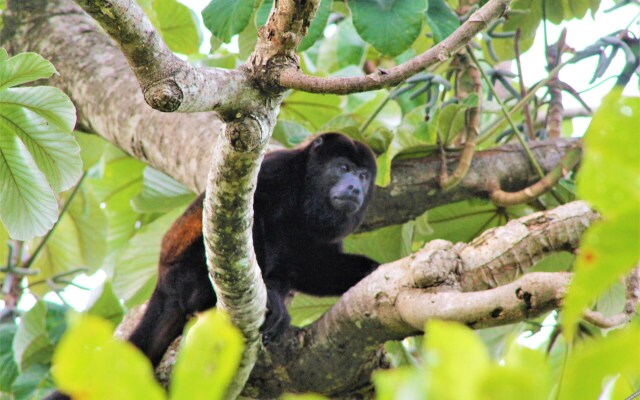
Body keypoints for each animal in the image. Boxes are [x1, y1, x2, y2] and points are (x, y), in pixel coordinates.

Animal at [47, 133, 380, 398]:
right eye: (343, 168)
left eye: (363, 175)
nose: (355, 187)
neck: (307, 194)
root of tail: (163, 283)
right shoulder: (276, 171)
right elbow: (252, 215)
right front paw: (270, 299)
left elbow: (312, 264)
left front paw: (372, 269)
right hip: (187, 270)